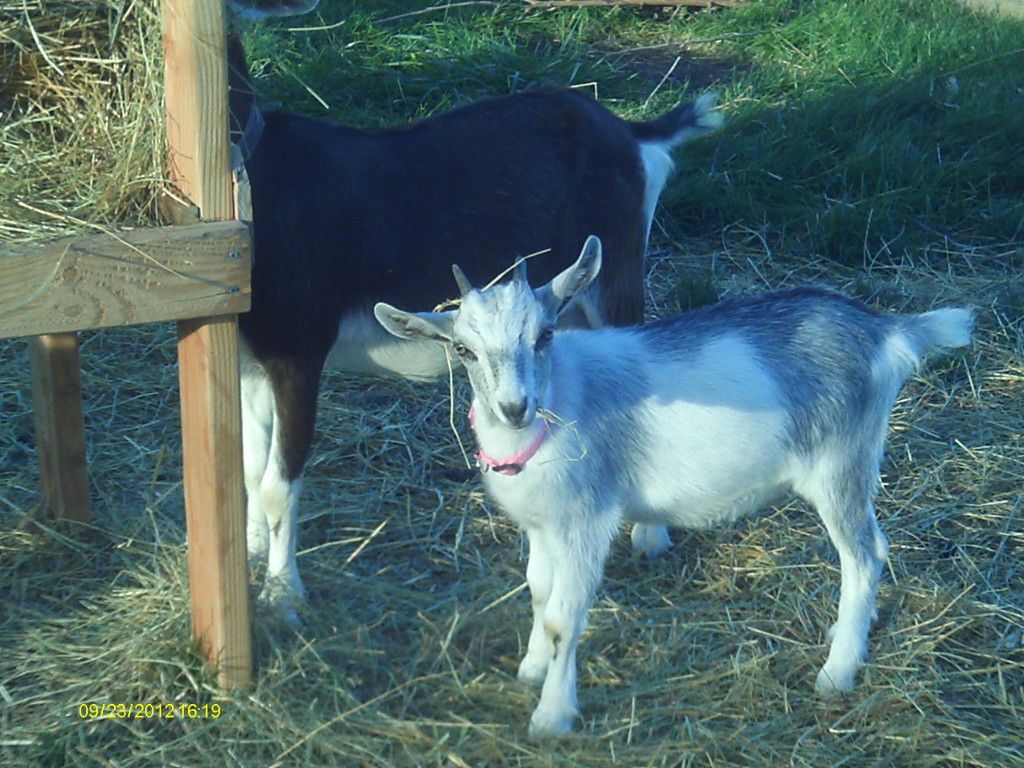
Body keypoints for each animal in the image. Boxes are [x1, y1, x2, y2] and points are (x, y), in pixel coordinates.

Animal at [226, 30, 722, 620]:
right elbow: (250, 470)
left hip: (615, 274)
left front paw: (283, 597)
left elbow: (278, 482)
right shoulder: (252, 359)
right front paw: (253, 555)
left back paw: (650, 537)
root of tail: (628, 132)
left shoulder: (298, 350)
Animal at [374, 236, 974, 737]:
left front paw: (552, 715)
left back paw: (838, 669)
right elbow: (540, 594)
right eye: (464, 350)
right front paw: (530, 668)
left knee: (866, 554)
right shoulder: (543, 524)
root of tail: (886, 331)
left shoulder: (586, 520)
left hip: (840, 463)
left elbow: (565, 615)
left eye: (545, 334)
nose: (514, 407)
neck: (562, 397)